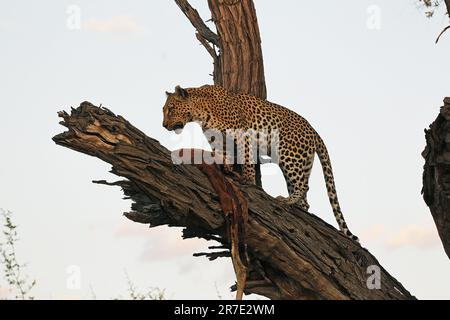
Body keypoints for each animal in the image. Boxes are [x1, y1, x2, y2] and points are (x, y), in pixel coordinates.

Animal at [162, 84, 358, 241]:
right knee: (305, 198)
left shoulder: (243, 135)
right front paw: (226, 169)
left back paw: (286, 201)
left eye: (170, 109)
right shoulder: (219, 141)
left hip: (289, 155)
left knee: (303, 186)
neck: (201, 111)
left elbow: (247, 159)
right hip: (303, 163)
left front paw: (248, 180)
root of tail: (314, 131)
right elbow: (225, 156)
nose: (164, 125)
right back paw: (298, 207)